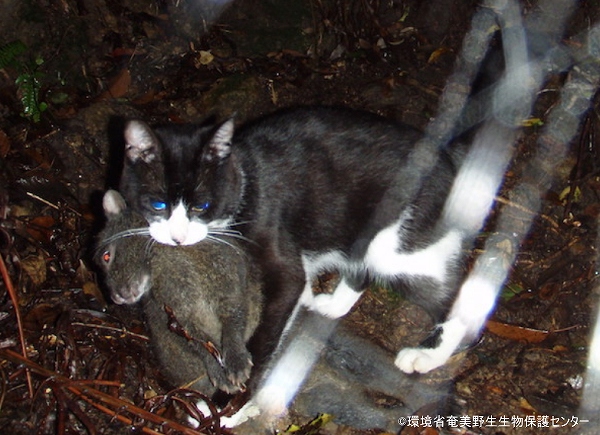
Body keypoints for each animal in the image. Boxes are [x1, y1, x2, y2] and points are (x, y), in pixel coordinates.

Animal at [95, 189, 262, 394]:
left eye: (107, 256)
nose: (116, 297)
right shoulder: (177, 315)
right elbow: (199, 344)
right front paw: (220, 373)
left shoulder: (227, 282)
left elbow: (234, 321)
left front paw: (237, 362)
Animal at [119, 106, 468, 378]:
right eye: (158, 204)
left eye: (201, 206)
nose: (178, 237)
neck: (244, 178)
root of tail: (449, 164)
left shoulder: (278, 249)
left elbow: (273, 320)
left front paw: (233, 407)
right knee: (361, 267)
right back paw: (330, 305)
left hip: (397, 242)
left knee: (455, 300)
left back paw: (427, 355)